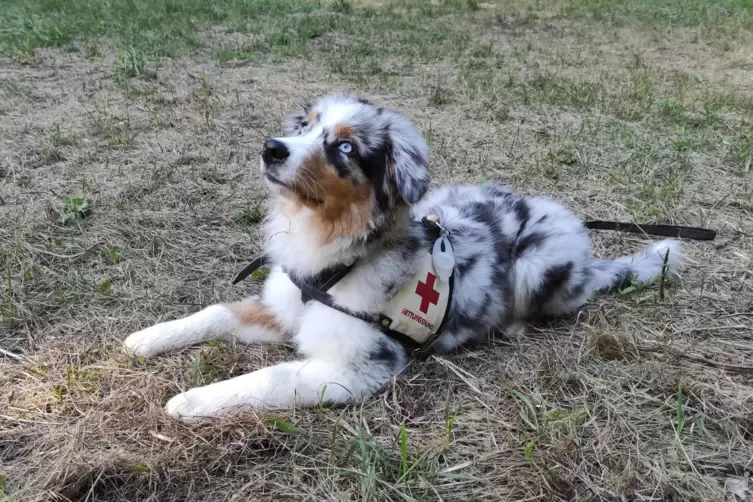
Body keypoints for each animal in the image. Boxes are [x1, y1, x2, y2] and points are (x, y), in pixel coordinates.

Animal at [125, 93, 680, 420]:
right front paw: (145, 339)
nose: (271, 148)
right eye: (304, 126)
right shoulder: (281, 310)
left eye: (346, 148)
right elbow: (215, 312)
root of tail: (578, 233)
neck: (328, 250)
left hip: (537, 263)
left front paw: (190, 399)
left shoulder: (361, 366)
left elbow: (270, 376)